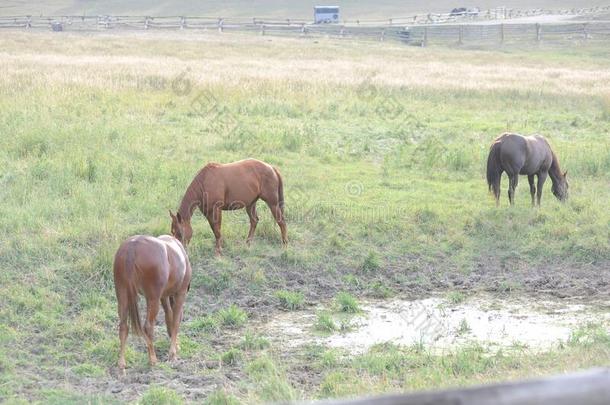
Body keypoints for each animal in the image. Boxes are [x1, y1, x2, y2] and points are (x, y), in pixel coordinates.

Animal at [111, 230, 191, 372]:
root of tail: (132, 246)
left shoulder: (163, 296)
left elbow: (169, 318)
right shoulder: (180, 294)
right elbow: (175, 321)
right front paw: (173, 353)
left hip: (122, 296)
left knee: (123, 327)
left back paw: (121, 364)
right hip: (152, 299)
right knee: (148, 326)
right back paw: (153, 359)